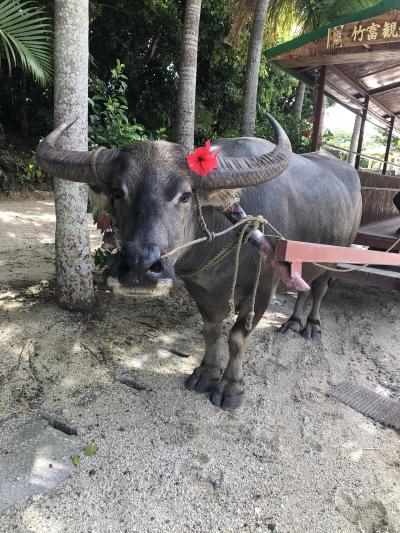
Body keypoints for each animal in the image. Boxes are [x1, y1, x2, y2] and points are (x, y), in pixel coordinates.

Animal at [37, 117, 362, 408]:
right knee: (304, 288)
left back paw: (312, 326)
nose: (140, 267)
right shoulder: (201, 289)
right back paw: (294, 322)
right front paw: (206, 374)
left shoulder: (262, 290)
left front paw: (230, 388)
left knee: (319, 289)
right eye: (118, 192)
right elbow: (212, 330)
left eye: (184, 195)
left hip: (337, 255)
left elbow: (237, 338)